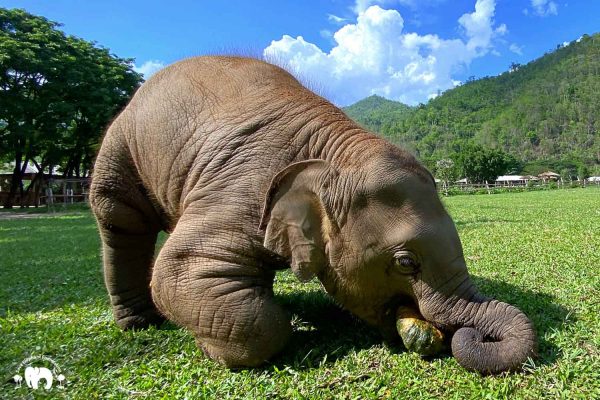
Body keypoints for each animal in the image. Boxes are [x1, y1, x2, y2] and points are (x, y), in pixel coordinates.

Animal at [91, 55, 536, 372]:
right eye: (406, 262)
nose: (468, 336)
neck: (333, 153)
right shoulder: (239, 190)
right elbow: (180, 271)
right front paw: (209, 347)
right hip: (119, 145)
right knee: (120, 219)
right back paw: (139, 323)